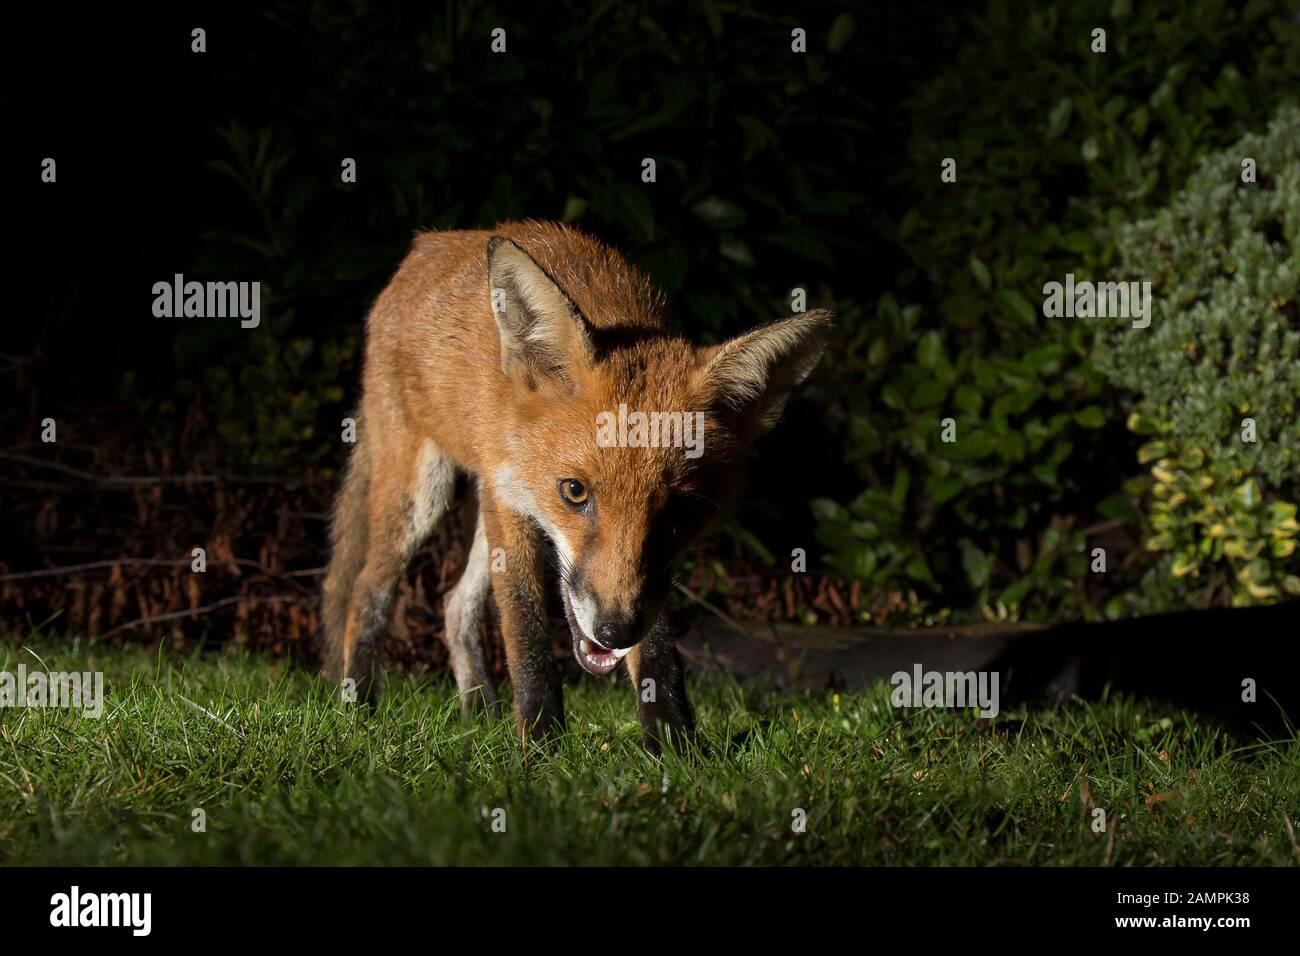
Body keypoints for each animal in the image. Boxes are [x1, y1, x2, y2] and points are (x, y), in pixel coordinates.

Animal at [325, 221, 832, 749]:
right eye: (574, 491)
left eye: (680, 509)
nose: (615, 631)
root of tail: (428, 242)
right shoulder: (510, 500)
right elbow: (525, 630)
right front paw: (541, 745)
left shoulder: (645, 575)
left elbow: (656, 647)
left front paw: (674, 746)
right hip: (424, 496)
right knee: (367, 590)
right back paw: (357, 707)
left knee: (453, 605)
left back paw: (479, 710)